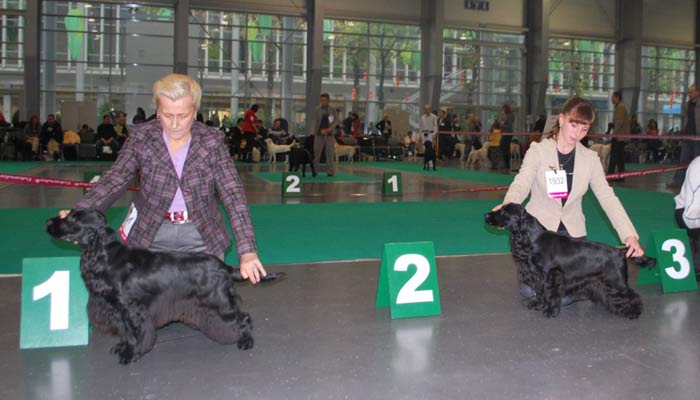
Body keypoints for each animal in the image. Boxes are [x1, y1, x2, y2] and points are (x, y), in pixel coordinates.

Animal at [45, 209, 285, 364]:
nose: (48, 222)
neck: (104, 255)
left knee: (243, 317)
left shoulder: (131, 308)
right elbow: (125, 332)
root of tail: (224, 266)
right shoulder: (118, 309)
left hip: (218, 302)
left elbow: (134, 332)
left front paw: (131, 355)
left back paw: (246, 341)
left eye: (73, 218)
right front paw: (123, 348)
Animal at [484, 203, 654, 319]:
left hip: (615, 281)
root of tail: (621, 251)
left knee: (632, 295)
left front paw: (549, 311)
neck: (532, 238)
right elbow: (540, 292)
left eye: (503, 212)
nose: (486, 215)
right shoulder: (539, 277)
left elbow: (549, 293)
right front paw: (537, 304)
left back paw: (634, 312)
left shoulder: (550, 276)